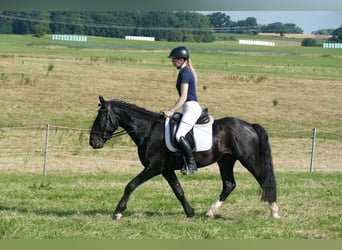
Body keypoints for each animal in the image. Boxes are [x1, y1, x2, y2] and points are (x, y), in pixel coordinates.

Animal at [89, 96, 280, 220]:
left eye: (102, 117)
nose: (93, 142)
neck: (148, 130)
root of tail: (250, 126)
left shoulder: (154, 167)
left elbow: (130, 185)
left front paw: (118, 212)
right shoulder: (166, 170)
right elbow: (178, 191)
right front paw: (190, 212)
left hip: (248, 159)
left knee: (264, 180)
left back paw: (274, 212)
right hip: (225, 160)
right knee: (229, 184)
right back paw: (209, 213)